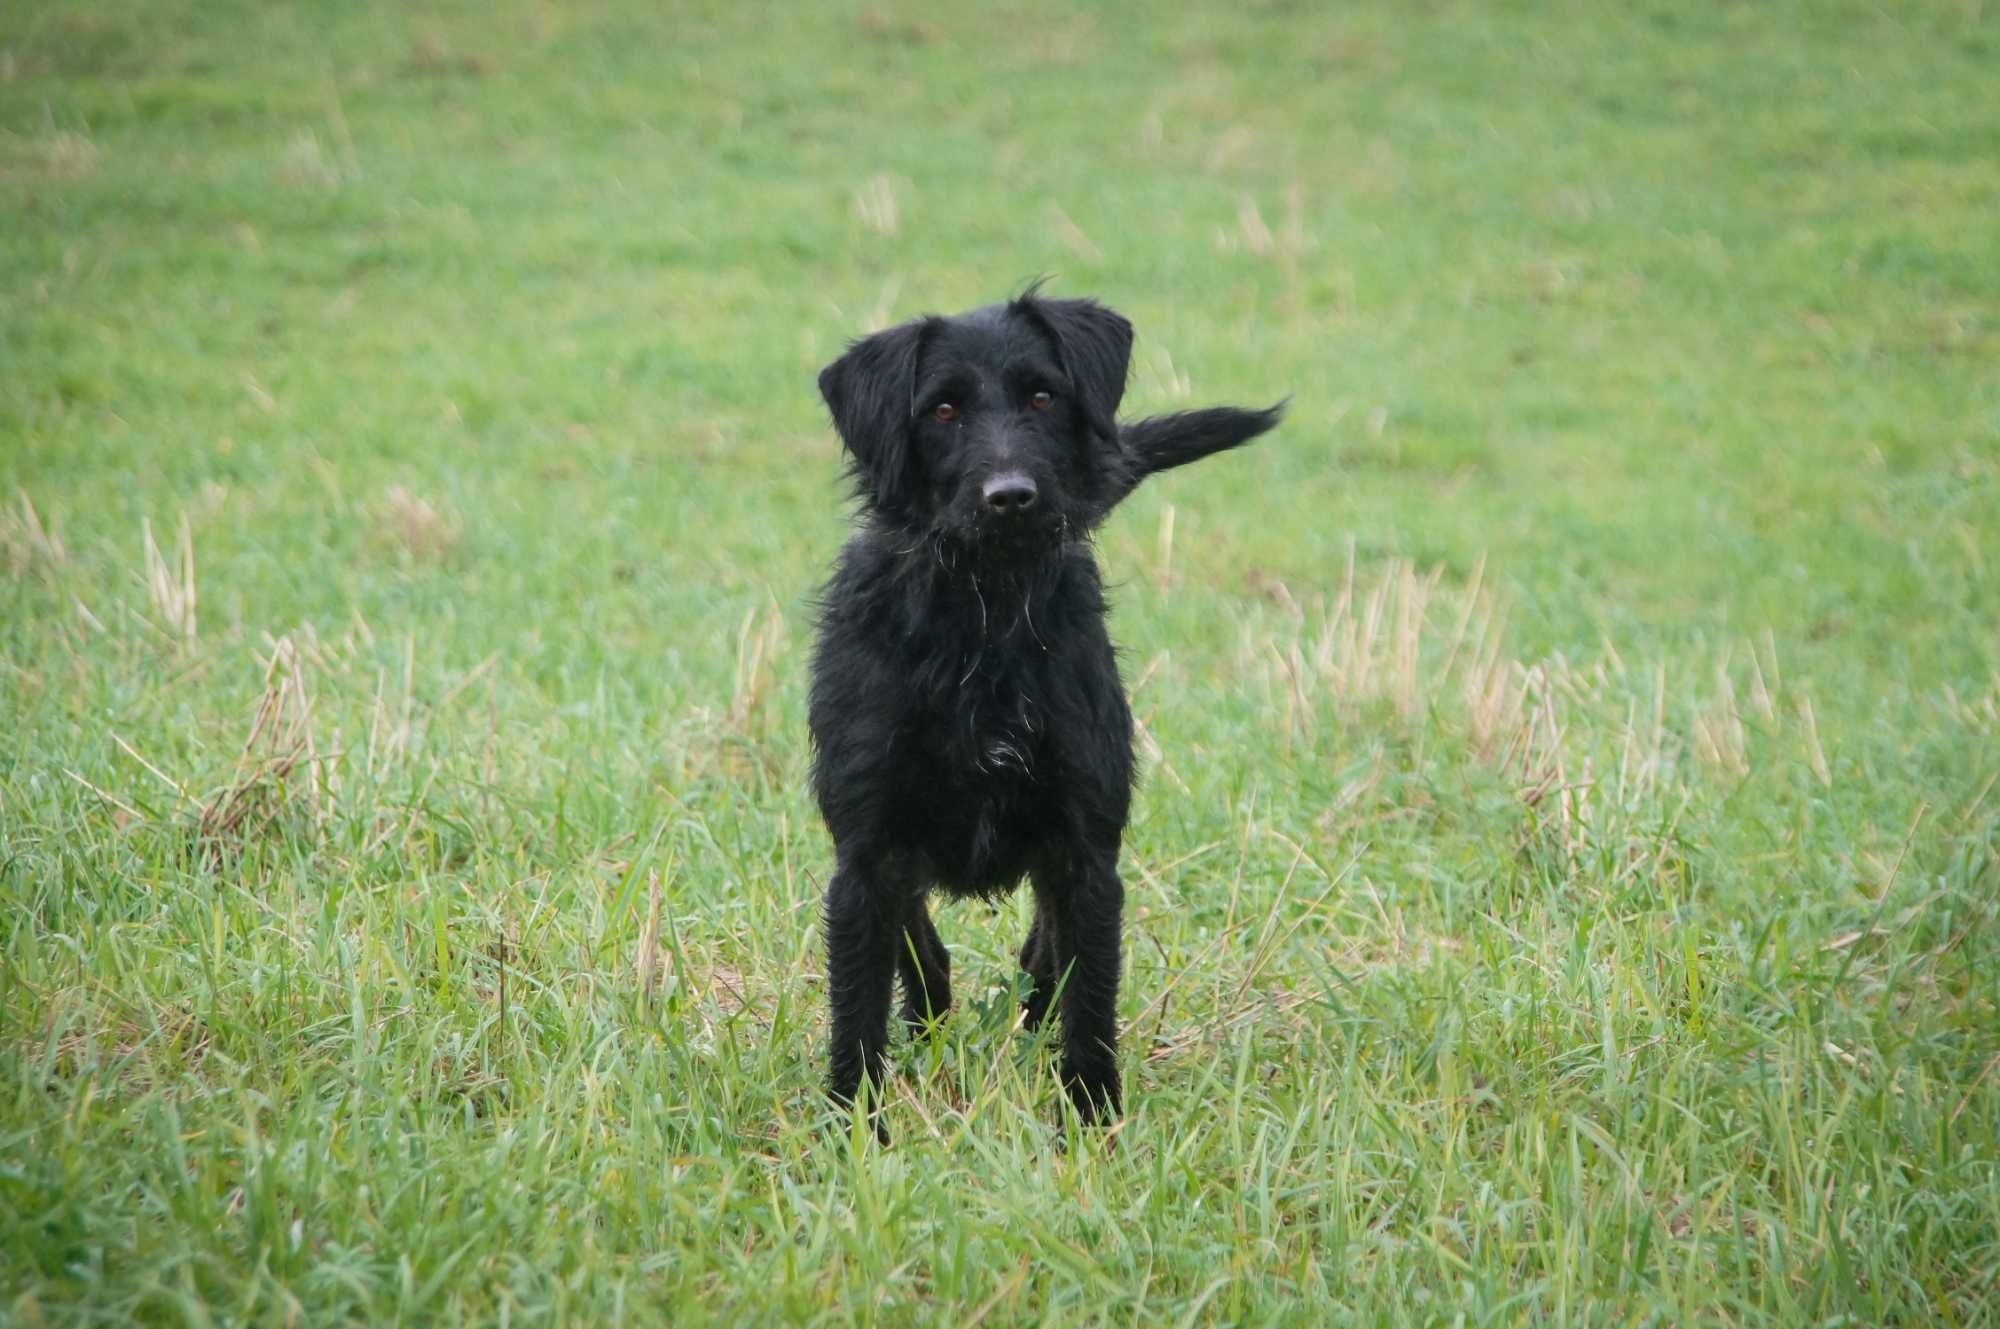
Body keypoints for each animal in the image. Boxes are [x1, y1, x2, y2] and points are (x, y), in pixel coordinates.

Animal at [812, 288, 1280, 1128]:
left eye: (1041, 396)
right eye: (942, 410)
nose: (1011, 498)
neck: (983, 618)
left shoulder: (1085, 854)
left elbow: (1089, 1000)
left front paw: (1092, 1121)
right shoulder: (865, 859)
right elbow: (857, 1007)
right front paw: (852, 1128)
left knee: (1039, 962)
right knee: (925, 954)